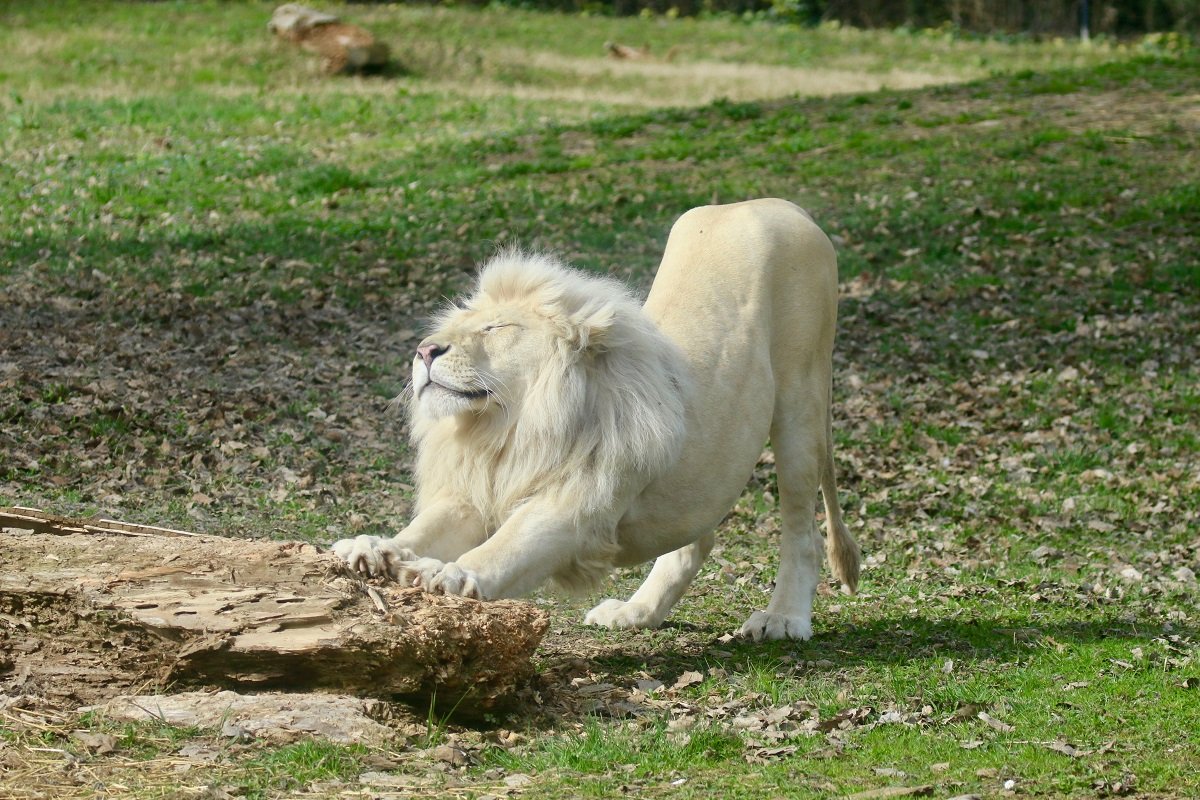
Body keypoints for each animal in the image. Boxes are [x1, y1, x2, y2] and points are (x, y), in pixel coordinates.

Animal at [334, 198, 860, 640]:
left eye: (496, 328)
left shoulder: (577, 505)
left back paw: (782, 619)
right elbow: (424, 529)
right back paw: (636, 611)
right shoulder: (477, 490)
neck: (507, 429)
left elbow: (506, 547)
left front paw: (443, 573)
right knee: (695, 538)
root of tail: (782, 205)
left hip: (801, 404)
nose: (424, 350)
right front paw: (376, 549)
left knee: (803, 532)